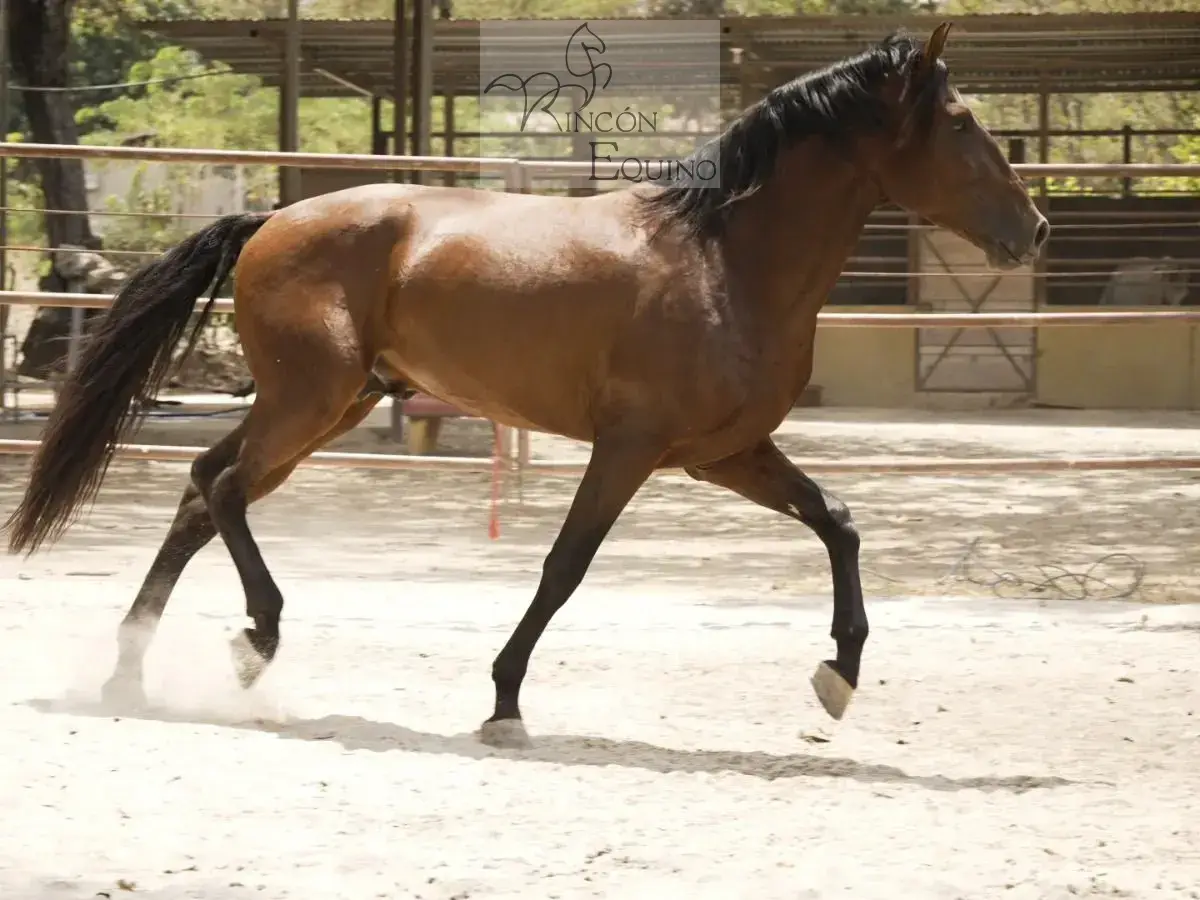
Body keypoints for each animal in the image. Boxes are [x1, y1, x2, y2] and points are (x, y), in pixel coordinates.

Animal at [4, 23, 1048, 749]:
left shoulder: (723, 455)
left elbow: (838, 520)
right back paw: (254, 640)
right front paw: (504, 702)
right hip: (309, 404)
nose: (1032, 229)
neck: (723, 259)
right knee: (219, 488)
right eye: (962, 124)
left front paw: (838, 675)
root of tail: (271, 220)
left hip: (326, 407)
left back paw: (128, 676)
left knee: (198, 493)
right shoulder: (631, 449)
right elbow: (564, 566)